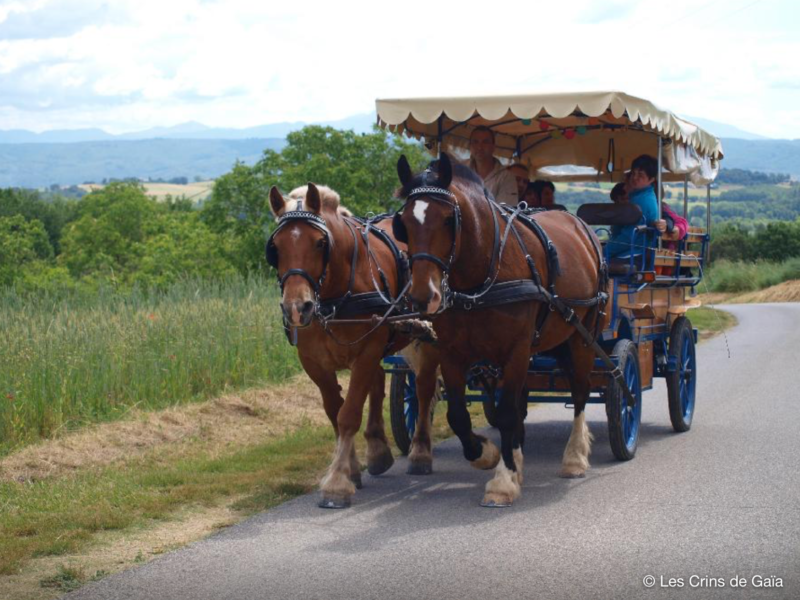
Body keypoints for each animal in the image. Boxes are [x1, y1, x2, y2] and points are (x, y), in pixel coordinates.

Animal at [268, 182, 438, 506]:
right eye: (276, 247)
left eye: (320, 242)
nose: (297, 308)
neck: (335, 296)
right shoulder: (313, 362)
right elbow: (335, 412)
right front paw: (352, 470)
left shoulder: (367, 350)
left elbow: (348, 415)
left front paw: (337, 483)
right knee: (379, 382)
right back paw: (378, 450)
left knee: (423, 388)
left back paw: (420, 452)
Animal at [394, 155, 608, 506]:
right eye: (404, 224)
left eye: (447, 220)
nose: (423, 297)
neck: (479, 278)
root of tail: (580, 226)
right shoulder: (452, 353)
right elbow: (458, 415)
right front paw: (488, 454)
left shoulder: (516, 350)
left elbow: (507, 413)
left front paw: (503, 481)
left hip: (582, 336)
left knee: (580, 391)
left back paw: (574, 457)